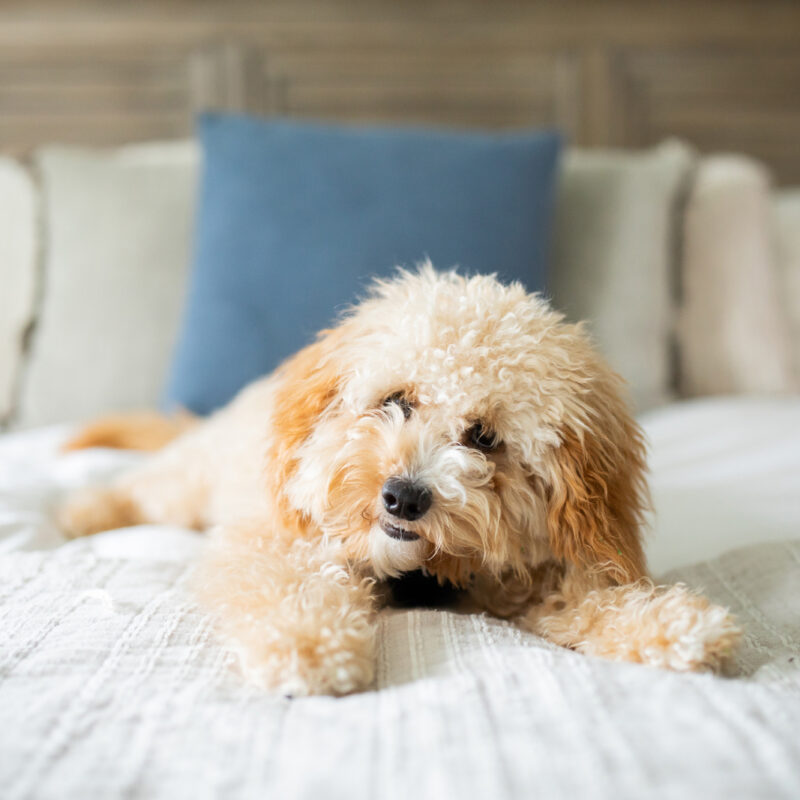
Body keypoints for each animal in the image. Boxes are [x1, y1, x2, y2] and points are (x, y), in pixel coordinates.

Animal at [59, 268, 740, 692]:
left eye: (483, 437)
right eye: (396, 401)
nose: (404, 496)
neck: (417, 572)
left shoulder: (524, 576)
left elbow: (588, 598)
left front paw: (673, 626)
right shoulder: (278, 541)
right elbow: (294, 587)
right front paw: (308, 646)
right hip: (189, 481)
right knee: (138, 486)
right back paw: (78, 515)